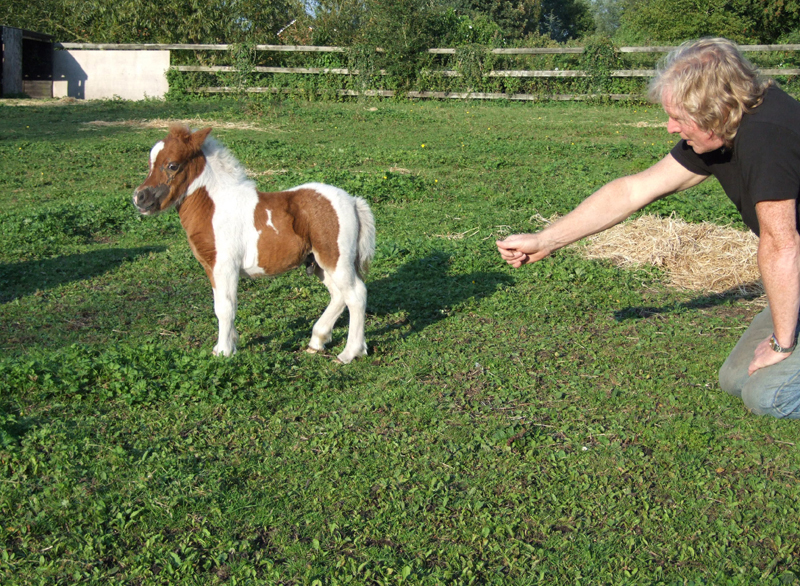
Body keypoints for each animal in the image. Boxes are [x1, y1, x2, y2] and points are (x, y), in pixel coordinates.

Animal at [134, 124, 376, 360]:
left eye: (172, 165)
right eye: (150, 164)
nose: (139, 198)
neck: (215, 207)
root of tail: (353, 201)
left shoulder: (225, 266)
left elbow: (225, 307)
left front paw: (224, 352)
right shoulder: (211, 268)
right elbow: (221, 305)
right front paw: (228, 344)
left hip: (336, 259)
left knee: (356, 295)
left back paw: (349, 353)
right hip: (319, 263)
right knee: (339, 296)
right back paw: (317, 341)